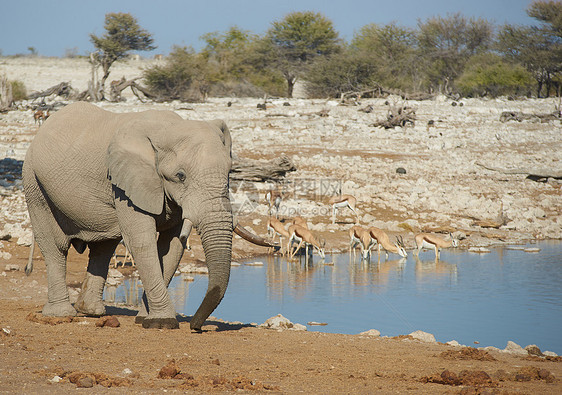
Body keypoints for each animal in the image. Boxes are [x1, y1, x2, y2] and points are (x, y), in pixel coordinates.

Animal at [24, 102, 272, 332]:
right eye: (180, 176)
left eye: (229, 173)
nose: (196, 326)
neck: (168, 129)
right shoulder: (124, 184)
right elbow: (141, 242)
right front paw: (163, 322)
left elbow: (172, 247)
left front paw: (145, 318)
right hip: (33, 182)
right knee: (55, 246)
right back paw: (60, 314)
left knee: (103, 248)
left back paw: (91, 311)